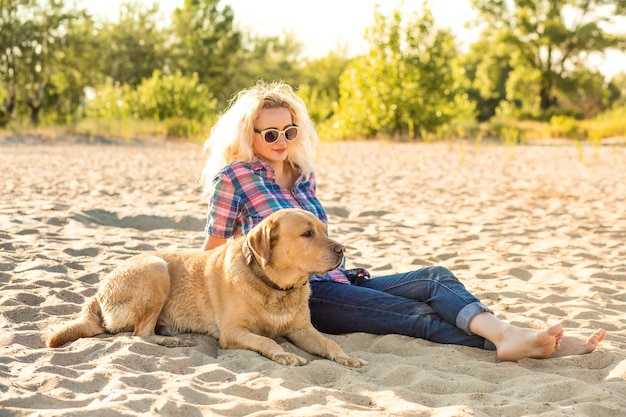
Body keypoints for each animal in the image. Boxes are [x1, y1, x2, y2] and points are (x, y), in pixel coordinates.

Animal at [47, 208, 366, 368]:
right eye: (307, 234)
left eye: (324, 231)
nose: (342, 249)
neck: (276, 287)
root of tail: (98, 292)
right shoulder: (233, 333)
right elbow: (268, 342)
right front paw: (284, 354)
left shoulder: (302, 330)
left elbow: (329, 343)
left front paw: (345, 357)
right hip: (156, 269)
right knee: (139, 334)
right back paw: (172, 342)